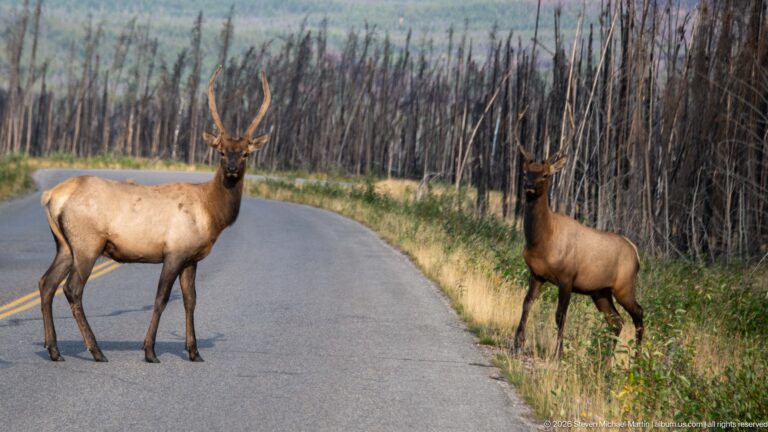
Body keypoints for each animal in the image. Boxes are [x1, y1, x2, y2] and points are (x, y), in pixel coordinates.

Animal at [38, 65, 270, 363]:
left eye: (244, 154)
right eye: (220, 151)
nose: (230, 169)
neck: (210, 214)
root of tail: (51, 196)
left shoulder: (191, 258)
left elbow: (191, 300)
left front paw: (194, 351)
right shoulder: (174, 252)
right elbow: (161, 298)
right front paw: (149, 350)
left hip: (65, 245)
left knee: (46, 283)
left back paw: (54, 350)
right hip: (87, 243)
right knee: (71, 289)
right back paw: (96, 350)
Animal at [513, 144, 643, 362]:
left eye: (545, 175)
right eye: (525, 172)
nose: (529, 186)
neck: (541, 241)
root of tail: (635, 251)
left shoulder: (567, 278)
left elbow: (560, 315)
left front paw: (558, 354)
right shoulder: (537, 274)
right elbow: (526, 303)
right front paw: (517, 344)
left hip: (623, 286)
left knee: (638, 313)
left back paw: (637, 360)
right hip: (600, 292)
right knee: (617, 321)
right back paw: (605, 362)